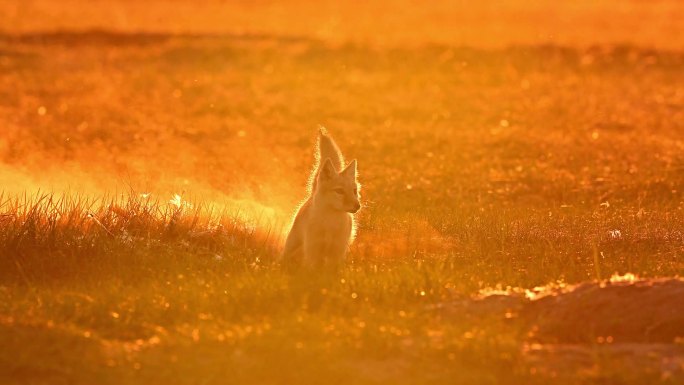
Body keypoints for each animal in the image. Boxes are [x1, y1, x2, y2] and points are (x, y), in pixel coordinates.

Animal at [280, 126, 360, 268]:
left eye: (354, 191)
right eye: (339, 191)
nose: (358, 205)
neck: (330, 224)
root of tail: (312, 195)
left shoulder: (338, 253)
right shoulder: (313, 252)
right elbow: (312, 270)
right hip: (292, 243)